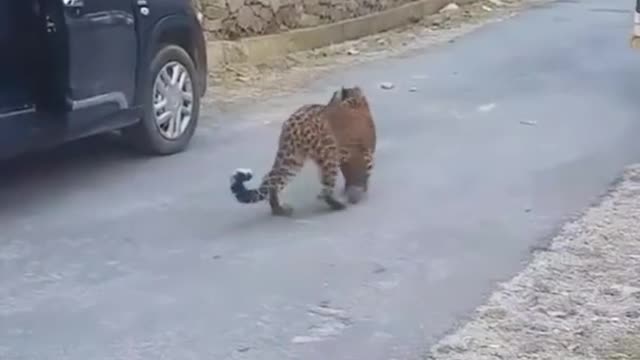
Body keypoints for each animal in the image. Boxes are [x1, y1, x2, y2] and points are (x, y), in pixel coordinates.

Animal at [229, 86, 376, 217]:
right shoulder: (365, 154)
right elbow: (363, 173)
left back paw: (279, 210)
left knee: (271, 180)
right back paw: (338, 205)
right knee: (325, 188)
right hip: (327, 155)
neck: (355, 100)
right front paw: (359, 190)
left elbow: (351, 175)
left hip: (292, 159)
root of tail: (292, 124)